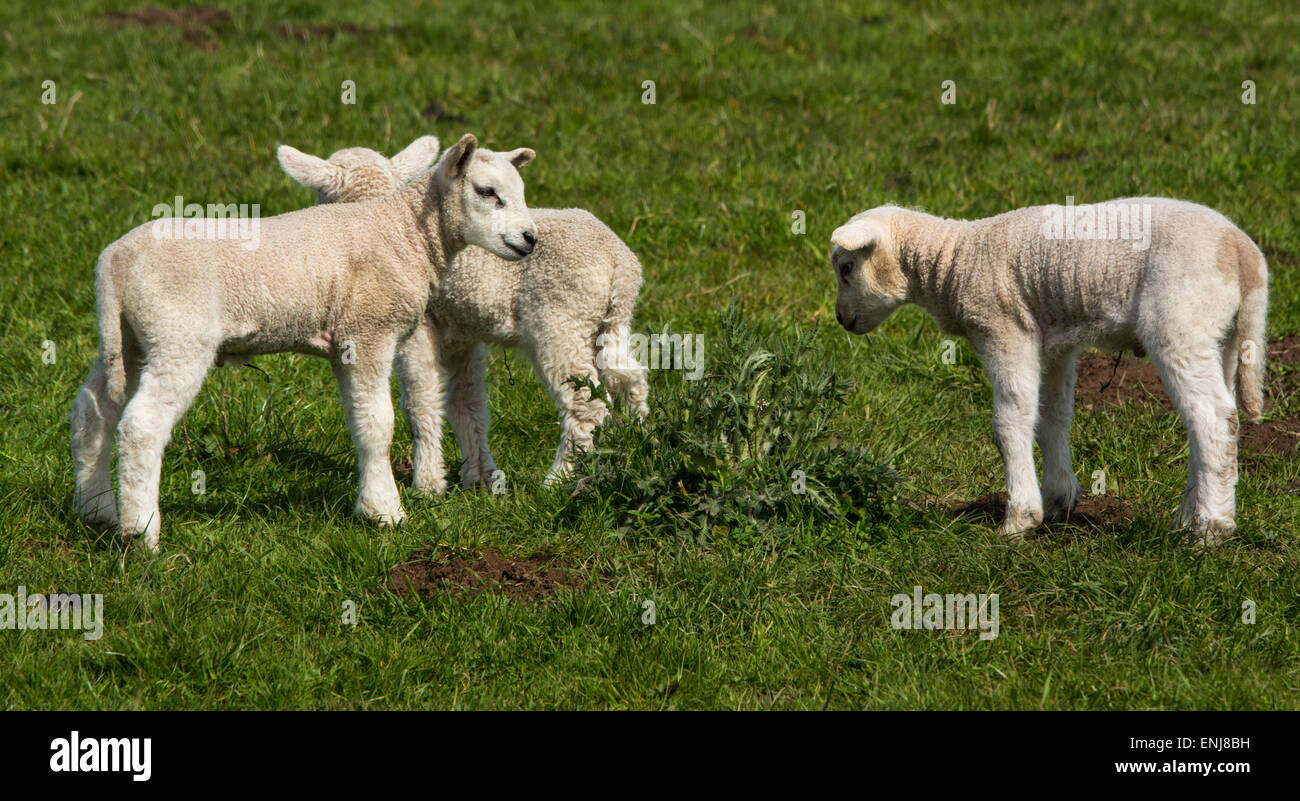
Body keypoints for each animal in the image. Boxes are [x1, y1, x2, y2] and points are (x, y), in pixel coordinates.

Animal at [70, 134, 539, 550]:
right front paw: (386, 512)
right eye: (486, 192)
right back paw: (140, 532)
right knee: (141, 425)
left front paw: (370, 502)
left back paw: (97, 511)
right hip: (177, 335)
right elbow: (379, 424)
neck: (404, 233)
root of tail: (114, 261)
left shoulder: (344, 341)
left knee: (93, 411)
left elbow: (359, 422)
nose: (531, 238)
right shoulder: (369, 329)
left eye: (519, 191)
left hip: (129, 340)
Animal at [278, 136, 649, 491]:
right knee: (629, 380)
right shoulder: (462, 333)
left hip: (561, 321)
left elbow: (421, 401)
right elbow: (467, 405)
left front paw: (428, 483)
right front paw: (481, 478)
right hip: (609, 322)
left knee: (586, 402)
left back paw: (558, 479)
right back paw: (638, 443)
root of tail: (620, 264)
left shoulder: (419, 330)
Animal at [830, 198, 1268, 545]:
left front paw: (1020, 519)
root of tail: (1244, 254)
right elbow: (1051, 418)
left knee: (1214, 419)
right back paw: (1188, 517)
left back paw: (1211, 529)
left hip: (1180, 323)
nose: (840, 319)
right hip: (1220, 338)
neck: (955, 259)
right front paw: (1059, 499)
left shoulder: (1006, 330)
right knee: (1211, 421)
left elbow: (1009, 423)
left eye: (846, 268)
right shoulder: (1055, 345)